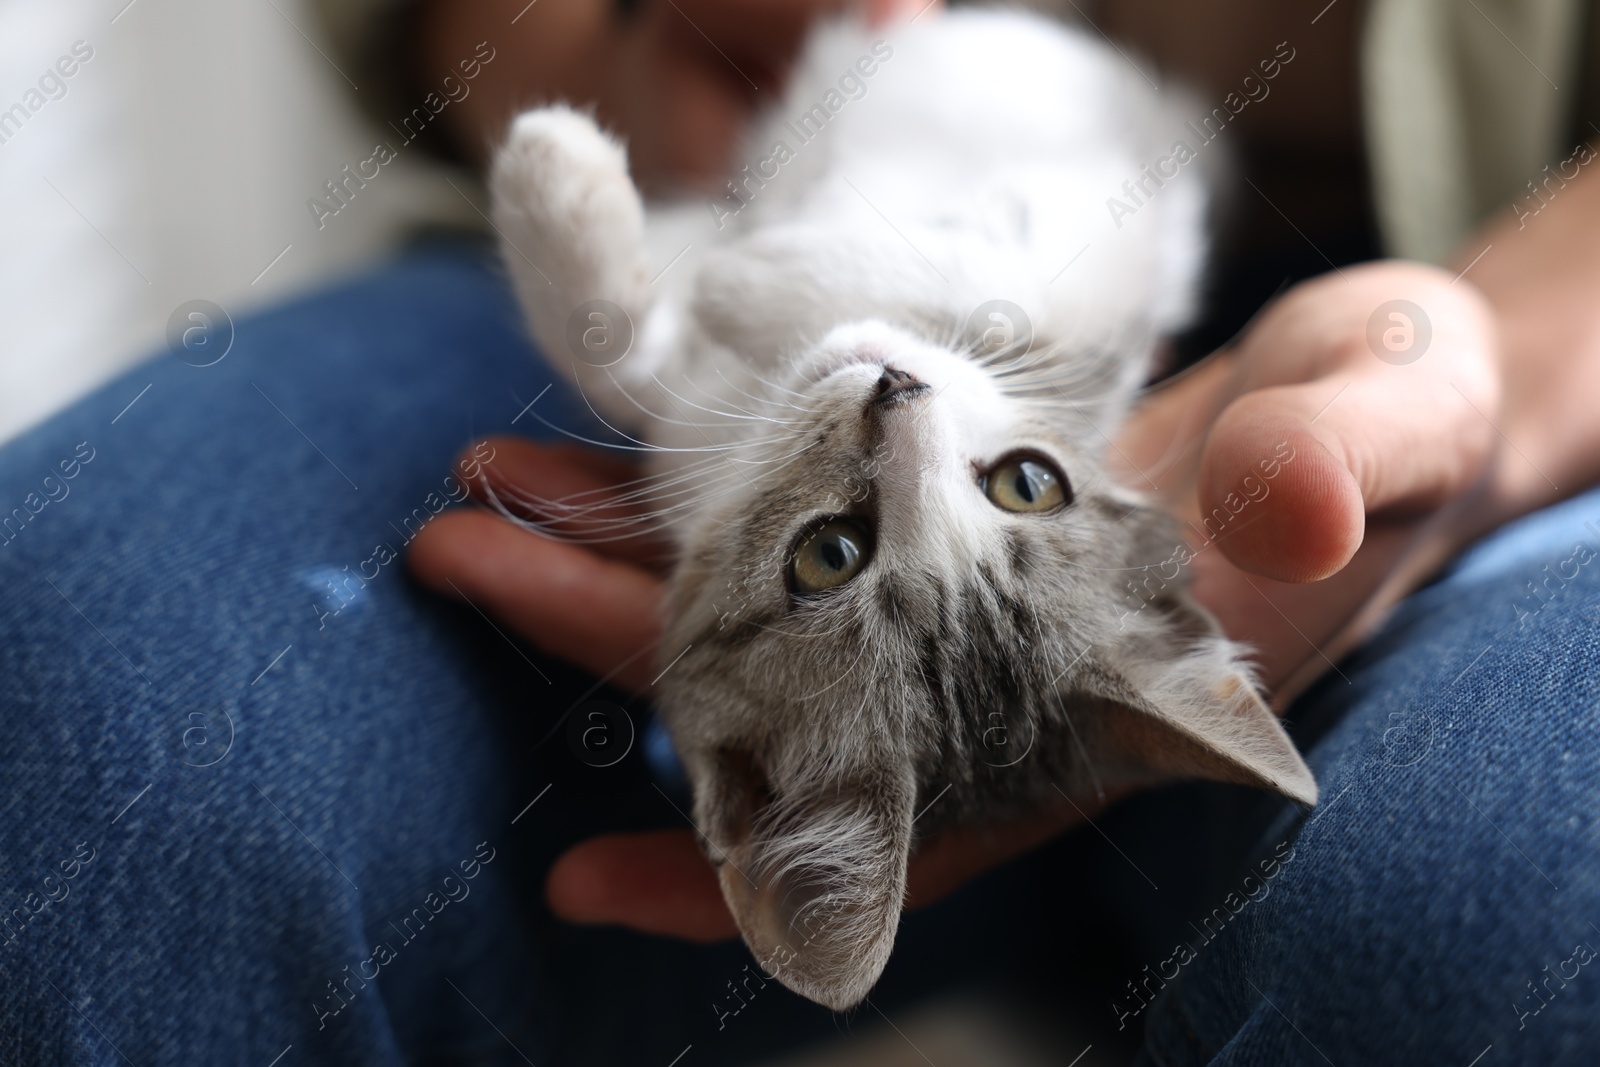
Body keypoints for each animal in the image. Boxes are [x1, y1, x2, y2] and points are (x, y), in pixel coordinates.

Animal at [492, 6, 1318, 1011]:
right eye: (1030, 481)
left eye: (828, 555)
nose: (897, 387)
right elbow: (623, 361)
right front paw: (585, 205)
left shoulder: (1114, 285)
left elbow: (999, 293)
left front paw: (716, 258)